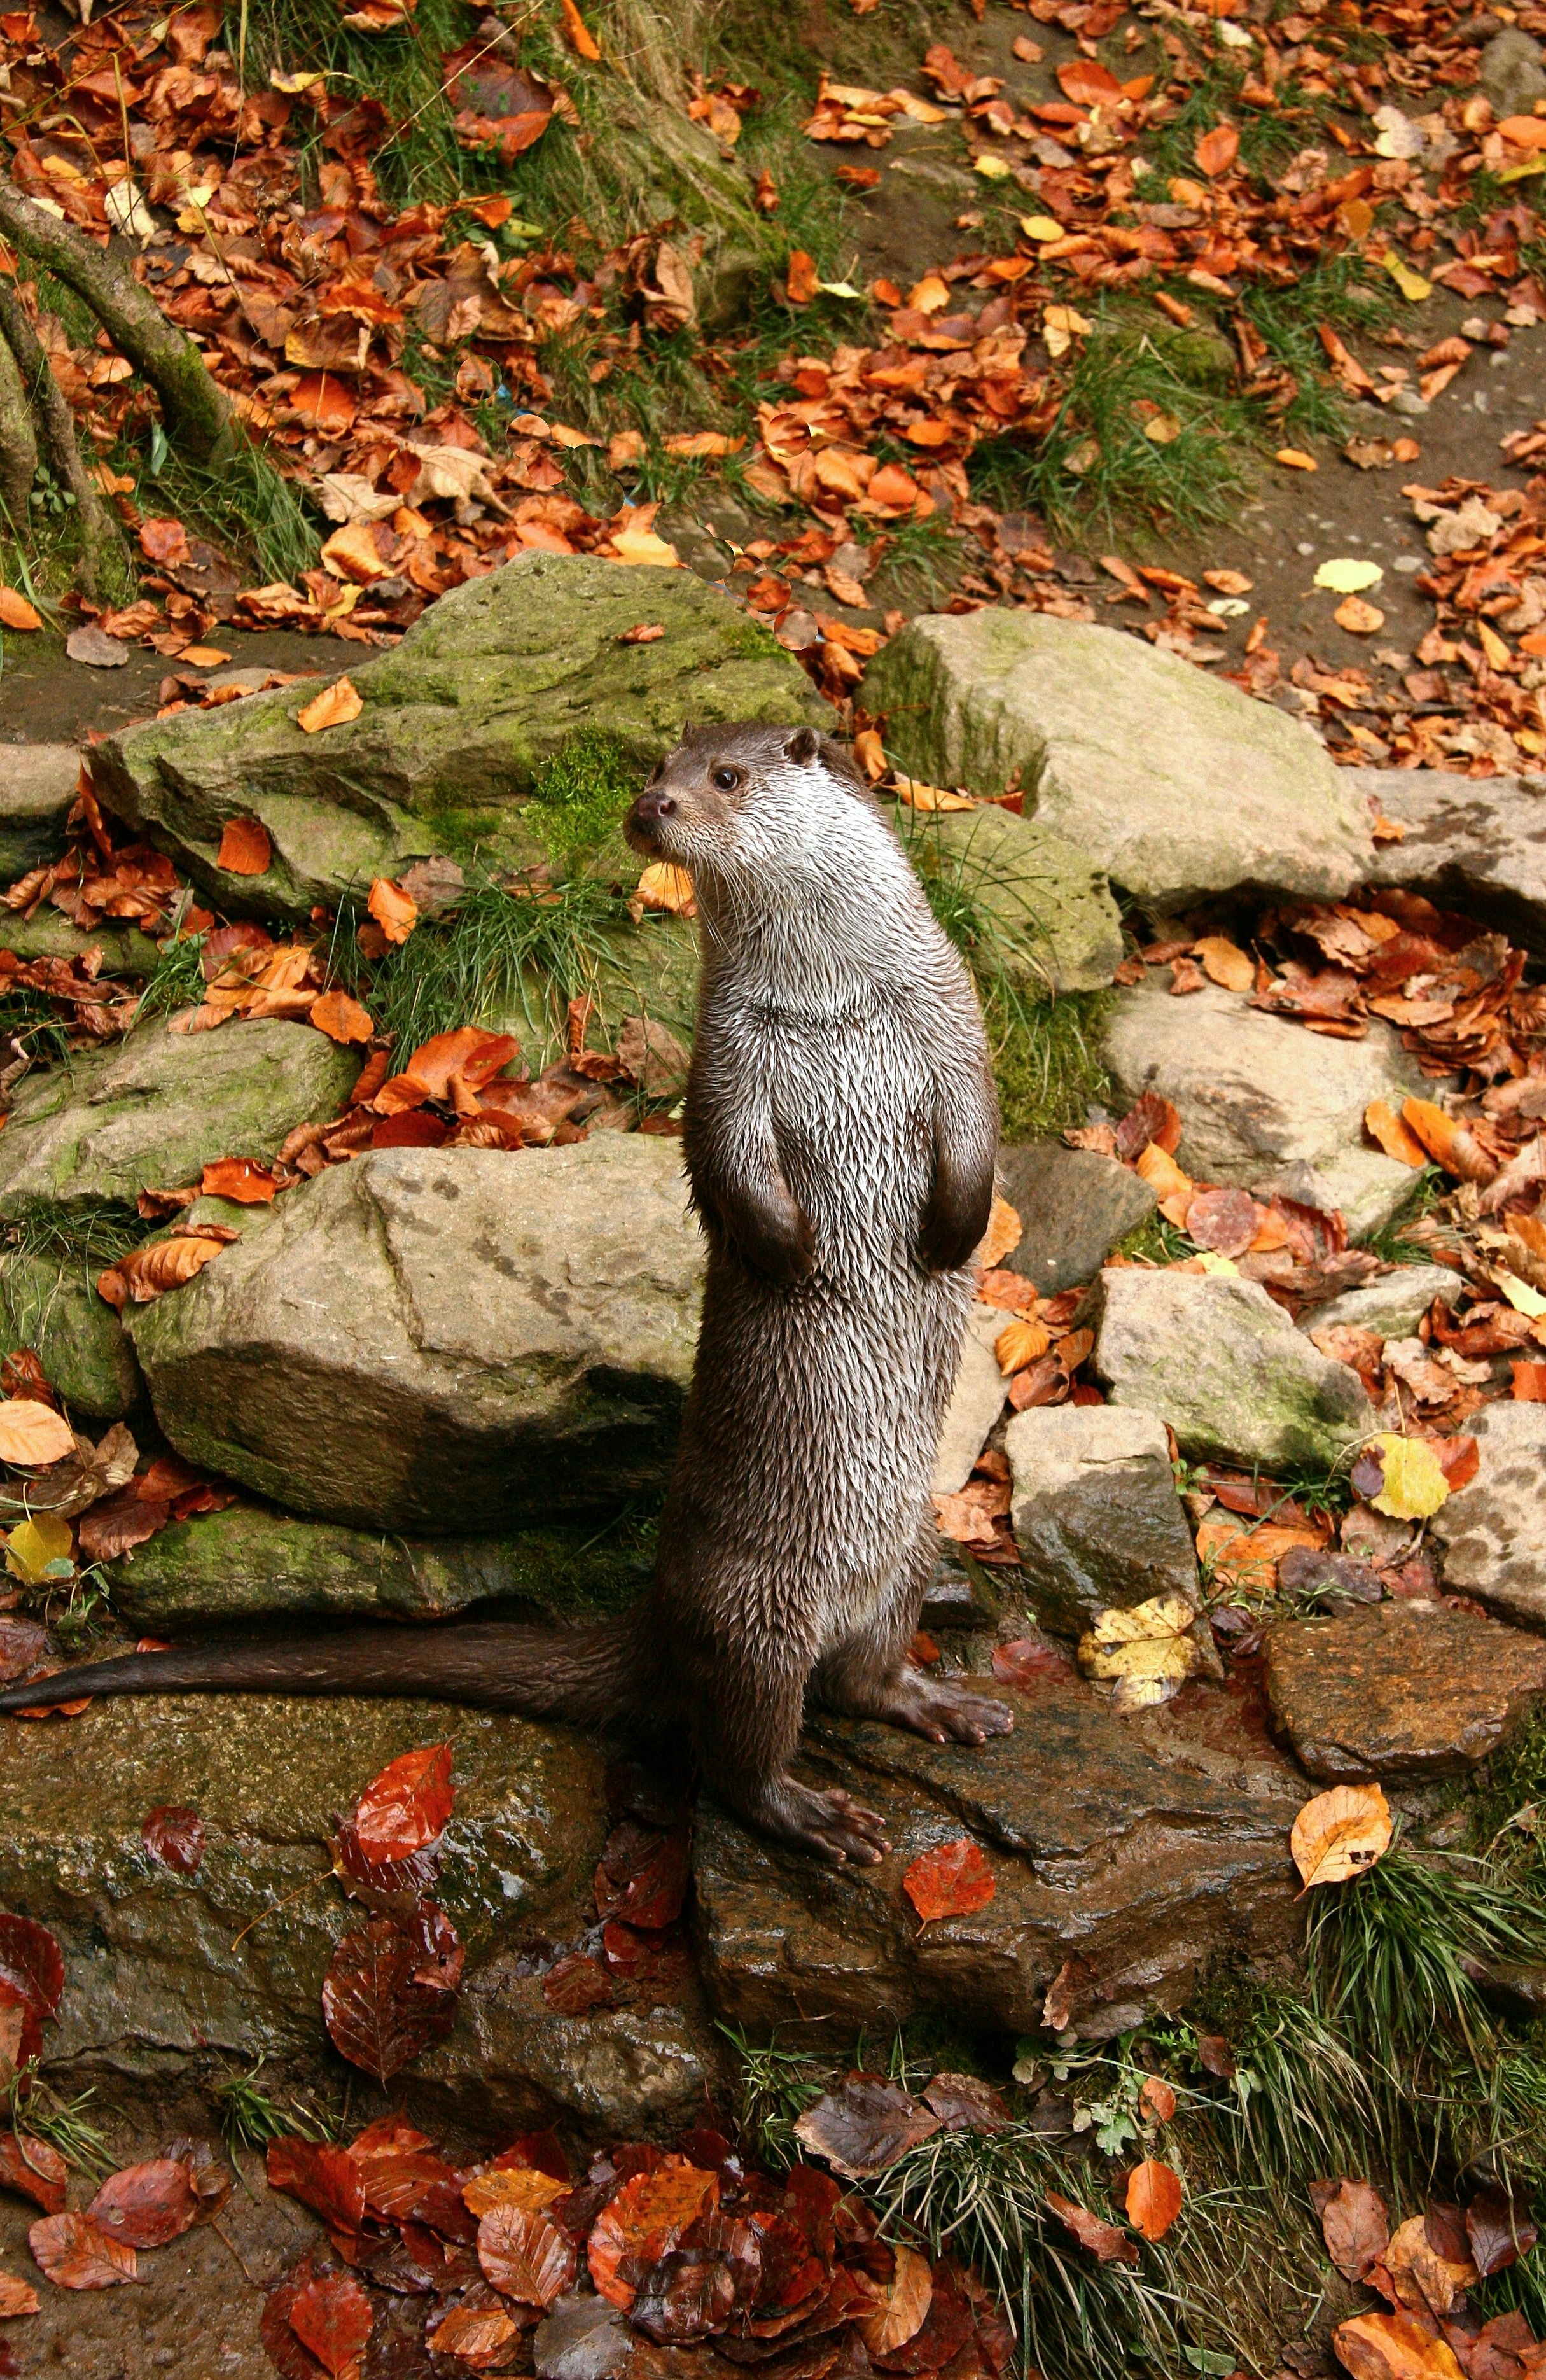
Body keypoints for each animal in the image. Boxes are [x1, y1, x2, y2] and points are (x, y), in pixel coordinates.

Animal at [0, 725, 1012, 1864]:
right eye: (655, 767)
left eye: (724, 777)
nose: (650, 808)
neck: (833, 1001)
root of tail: (658, 1612)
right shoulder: (728, 1062)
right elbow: (726, 1167)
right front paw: (791, 1257)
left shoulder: (949, 1017)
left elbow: (979, 1131)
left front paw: (951, 1231)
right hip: (750, 1612)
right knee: (740, 1749)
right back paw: (816, 1813)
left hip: (909, 1551)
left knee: (861, 1678)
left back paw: (940, 1705)